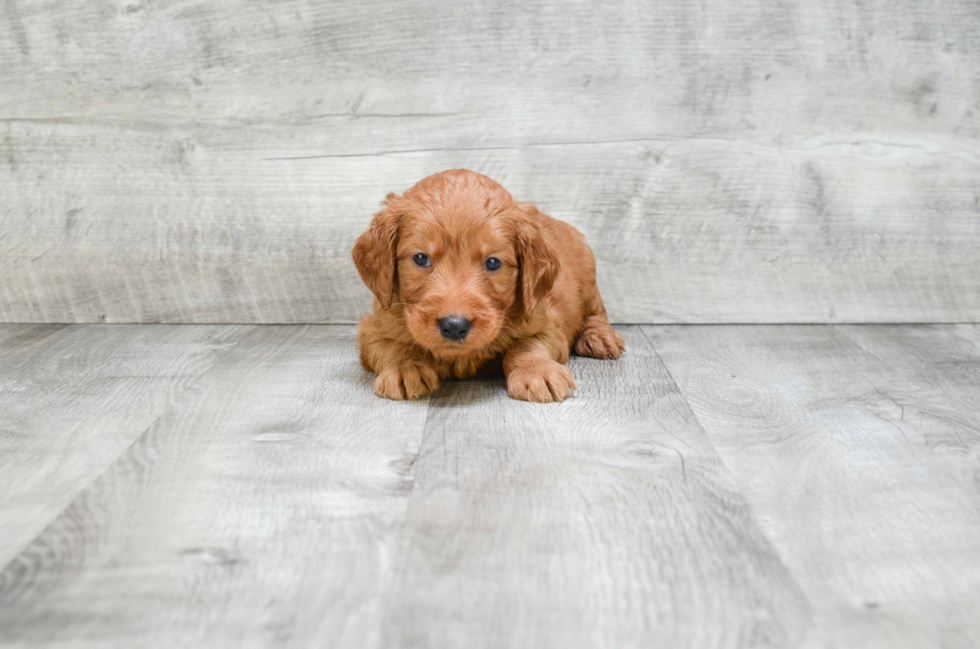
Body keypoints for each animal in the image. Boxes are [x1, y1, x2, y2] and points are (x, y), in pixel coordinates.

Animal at [356, 168, 624, 400]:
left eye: (493, 262)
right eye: (421, 258)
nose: (454, 326)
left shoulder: (547, 324)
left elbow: (526, 344)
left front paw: (537, 370)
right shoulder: (373, 329)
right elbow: (394, 346)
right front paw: (406, 368)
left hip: (587, 277)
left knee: (597, 313)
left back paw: (600, 338)